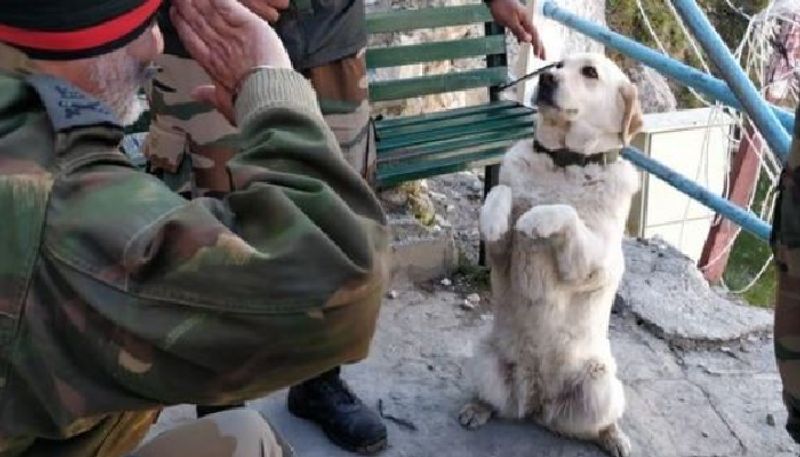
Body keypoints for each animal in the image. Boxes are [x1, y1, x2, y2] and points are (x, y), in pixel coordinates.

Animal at [460, 51, 640, 454]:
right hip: (483, 357)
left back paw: (614, 437)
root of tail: (537, 400)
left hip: (601, 386)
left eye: (589, 72)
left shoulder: (594, 264)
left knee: (594, 424)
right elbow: (501, 191)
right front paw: (497, 217)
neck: (563, 159)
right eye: (557, 65)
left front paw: (536, 218)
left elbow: (565, 212)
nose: (545, 80)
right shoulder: (501, 256)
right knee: (497, 401)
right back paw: (477, 408)